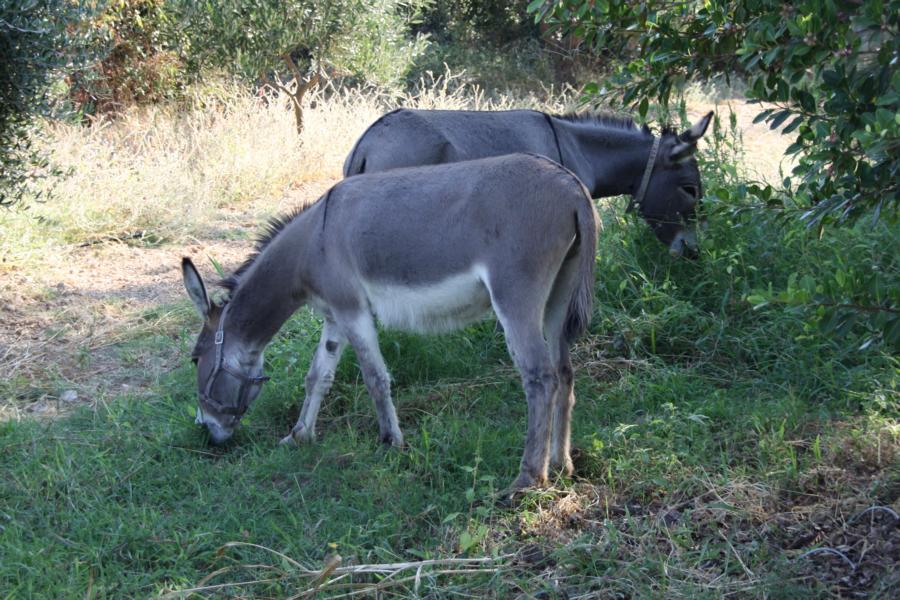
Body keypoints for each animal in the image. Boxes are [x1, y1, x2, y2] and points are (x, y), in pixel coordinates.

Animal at [182, 153, 599, 490]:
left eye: (194, 358)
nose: (205, 432)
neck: (313, 241)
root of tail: (571, 185)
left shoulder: (353, 310)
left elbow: (375, 378)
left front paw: (391, 443)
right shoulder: (335, 316)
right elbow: (318, 376)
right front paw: (299, 435)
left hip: (516, 297)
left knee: (539, 377)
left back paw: (528, 479)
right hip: (558, 296)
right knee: (564, 371)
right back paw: (561, 465)